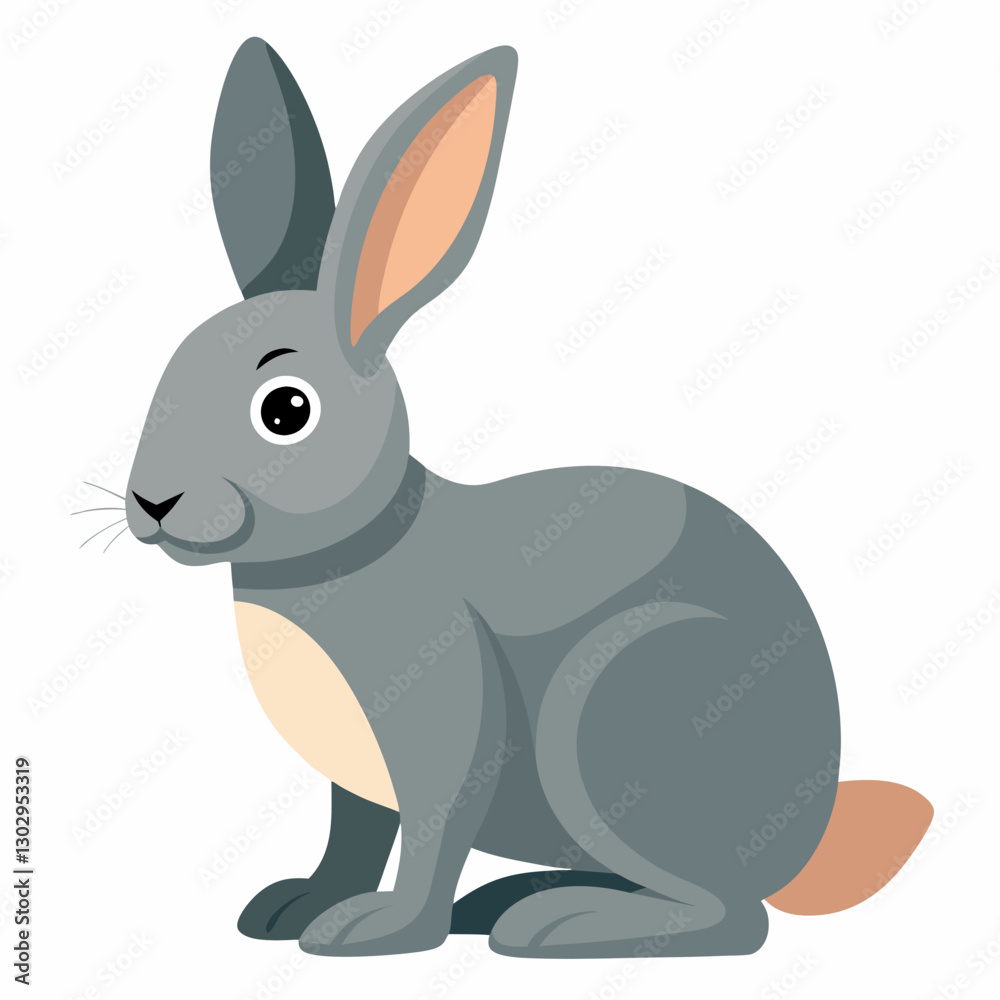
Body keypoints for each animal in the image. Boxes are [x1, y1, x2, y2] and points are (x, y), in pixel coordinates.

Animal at [124, 37, 933, 958]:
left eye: (286, 410)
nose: (151, 502)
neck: (356, 546)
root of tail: (809, 830)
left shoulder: (445, 719)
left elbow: (433, 833)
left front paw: (377, 929)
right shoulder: (357, 778)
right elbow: (353, 834)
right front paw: (297, 906)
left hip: (610, 710)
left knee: (733, 918)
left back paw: (561, 924)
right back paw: (514, 901)